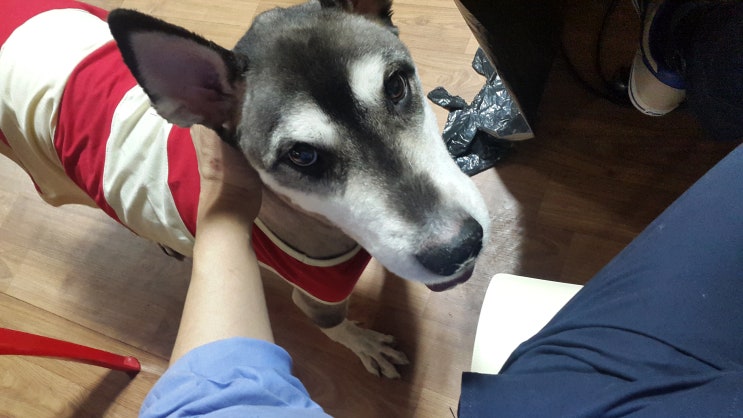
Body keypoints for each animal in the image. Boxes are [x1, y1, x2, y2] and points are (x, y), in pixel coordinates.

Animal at [0, 0, 490, 378]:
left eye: (395, 86)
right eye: (302, 156)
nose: (458, 247)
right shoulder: (317, 297)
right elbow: (336, 328)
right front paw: (364, 343)